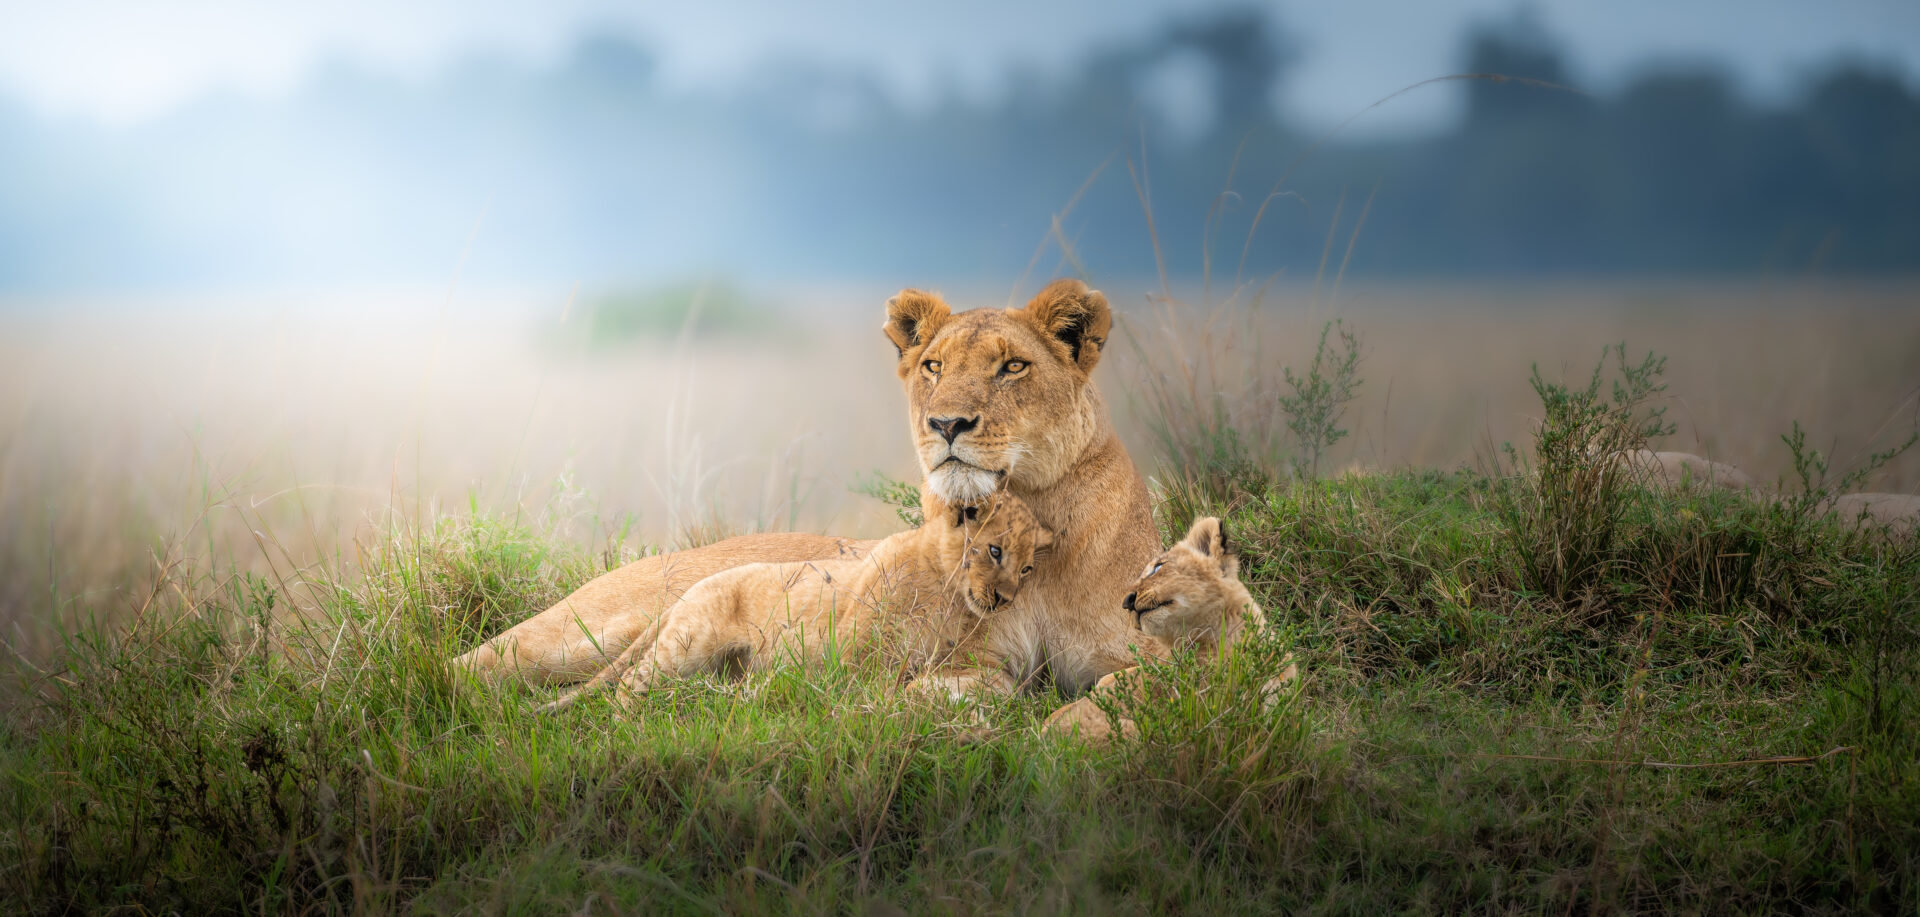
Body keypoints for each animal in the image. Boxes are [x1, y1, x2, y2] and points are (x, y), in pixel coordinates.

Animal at [538, 490, 1052, 711]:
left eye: (1028, 568)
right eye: (994, 550)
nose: (1005, 599)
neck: (946, 594)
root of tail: (688, 591)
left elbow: (986, 682)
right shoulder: (854, 655)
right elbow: (875, 690)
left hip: (714, 663)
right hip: (686, 646)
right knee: (630, 685)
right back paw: (629, 720)